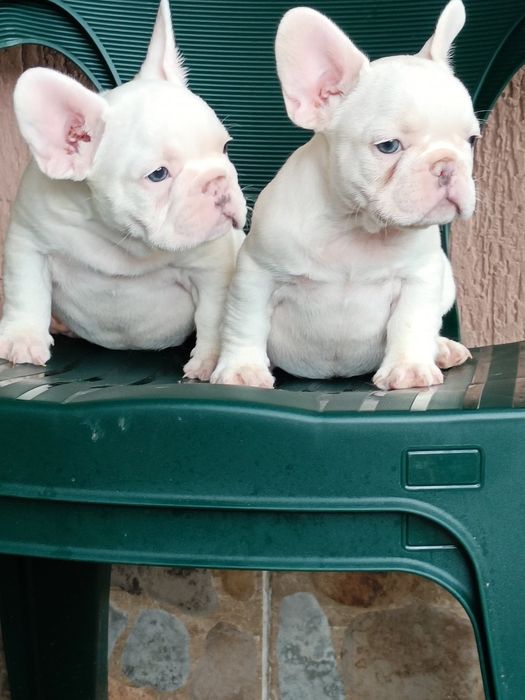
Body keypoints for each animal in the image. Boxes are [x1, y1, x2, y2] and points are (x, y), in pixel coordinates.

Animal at [0, 0, 246, 381]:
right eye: (158, 174)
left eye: (225, 149)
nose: (217, 182)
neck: (120, 239)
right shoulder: (29, 243)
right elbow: (24, 291)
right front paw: (22, 339)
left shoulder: (211, 269)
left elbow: (213, 314)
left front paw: (210, 360)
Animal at [211, 0, 477, 390]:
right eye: (388, 146)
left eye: (472, 140)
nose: (446, 166)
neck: (355, 227)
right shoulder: (256, 274)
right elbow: (246, 322)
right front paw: (241, 369)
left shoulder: (421, 276)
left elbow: (412, 321)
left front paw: (409, 368)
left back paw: (441, 348)